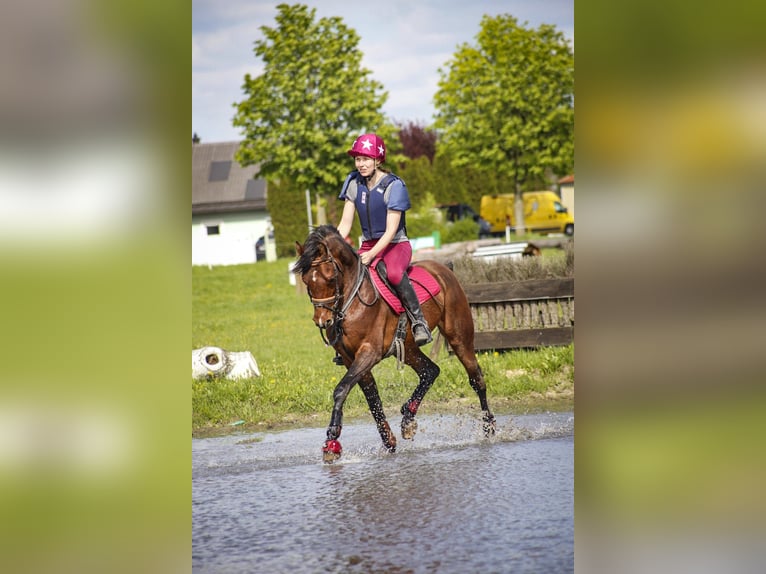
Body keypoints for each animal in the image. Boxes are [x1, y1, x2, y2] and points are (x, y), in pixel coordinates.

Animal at [295, 225, 496, 463]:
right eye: (306, 280)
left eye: (330, 276)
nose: (322, 321)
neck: (351, 301)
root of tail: (444, 269)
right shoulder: (350, 359)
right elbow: (372, 399)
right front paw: (388, 441)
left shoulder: (369, 353)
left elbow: (341, 389)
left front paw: (332, 441)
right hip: (408, 348)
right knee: (430, 371)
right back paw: (408, 419)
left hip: (459, 337)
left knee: (476, 378)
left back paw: (489, 427)